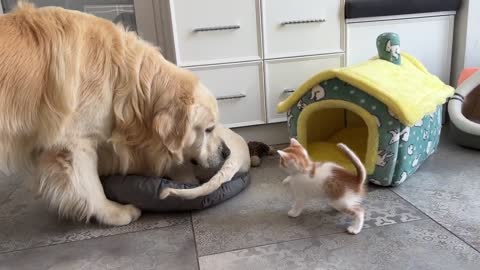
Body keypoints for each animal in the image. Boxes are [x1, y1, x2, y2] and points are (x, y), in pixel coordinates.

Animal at [0, 3, 232, 226]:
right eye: (208, 129)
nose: (227, 152)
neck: (122, 78)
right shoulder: (73, 142)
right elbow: (89, 183)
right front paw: (114, 212)